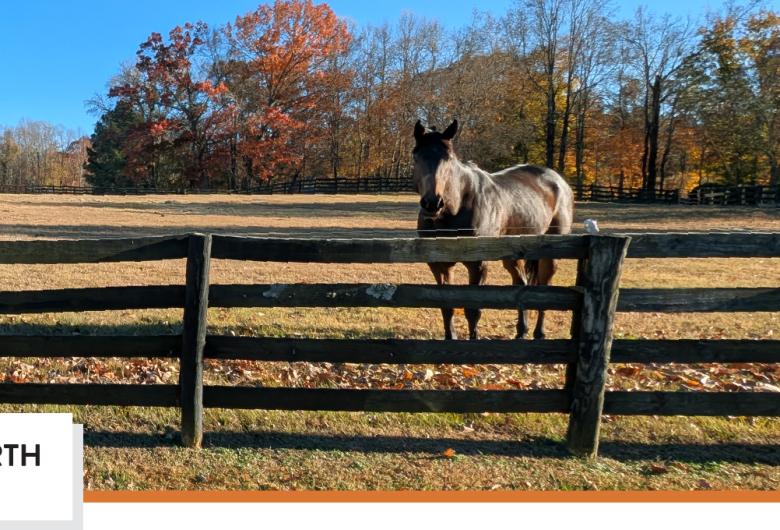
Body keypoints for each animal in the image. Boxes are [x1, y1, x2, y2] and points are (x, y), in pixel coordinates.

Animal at [413, 119, 574, 341]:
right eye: (416, 156)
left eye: (448, 158)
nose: (432, 203)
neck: (456, 207)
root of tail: (559, 181)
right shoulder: (438, 265)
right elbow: (446, 306)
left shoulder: (478, 264)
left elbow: (473, 310)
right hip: (513, 255)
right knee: (521, 283)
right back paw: (521, 331)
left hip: (550, 254)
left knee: (544, 288)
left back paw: (538, 333)